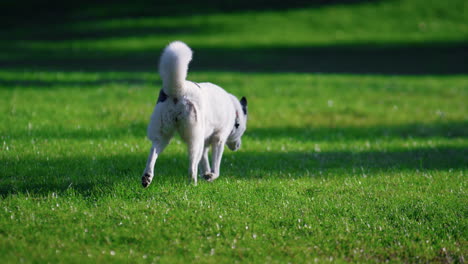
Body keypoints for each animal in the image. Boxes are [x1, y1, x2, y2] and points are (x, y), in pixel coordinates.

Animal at [141, 41, 247, 187]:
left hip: (162, 136)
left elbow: (205, 163)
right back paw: (193, 183)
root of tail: (179, 89)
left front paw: (207, 176)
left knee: (152, 153)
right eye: (241, 129)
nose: (238, 146)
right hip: (194, 140)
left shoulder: (205, 143)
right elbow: (216, 167)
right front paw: (211, 176)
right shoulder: (218, 139)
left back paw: (147, 177)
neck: (234, 110)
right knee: (192, 165)